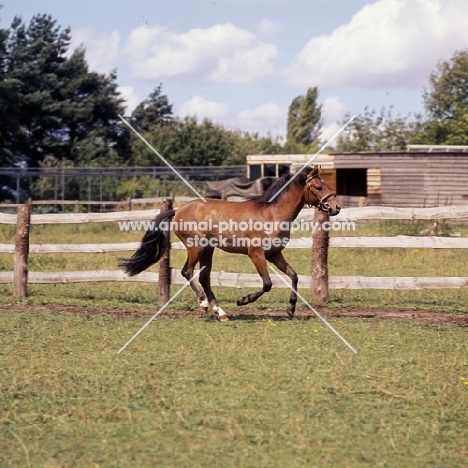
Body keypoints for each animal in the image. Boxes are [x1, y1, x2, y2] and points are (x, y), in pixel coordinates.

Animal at [119, 165, 340, 322]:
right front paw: (243, 300)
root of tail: (178, 210)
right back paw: (204, 304)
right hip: (196, 246)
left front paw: (290, 310)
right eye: (319, 186)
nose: (335, 207)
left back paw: (221, 312)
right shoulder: (256, 254)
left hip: (208, 249)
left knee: (204, 278)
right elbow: (267, 283)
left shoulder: (274, 254)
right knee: (187, 272)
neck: (272, 214)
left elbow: (293, 276)